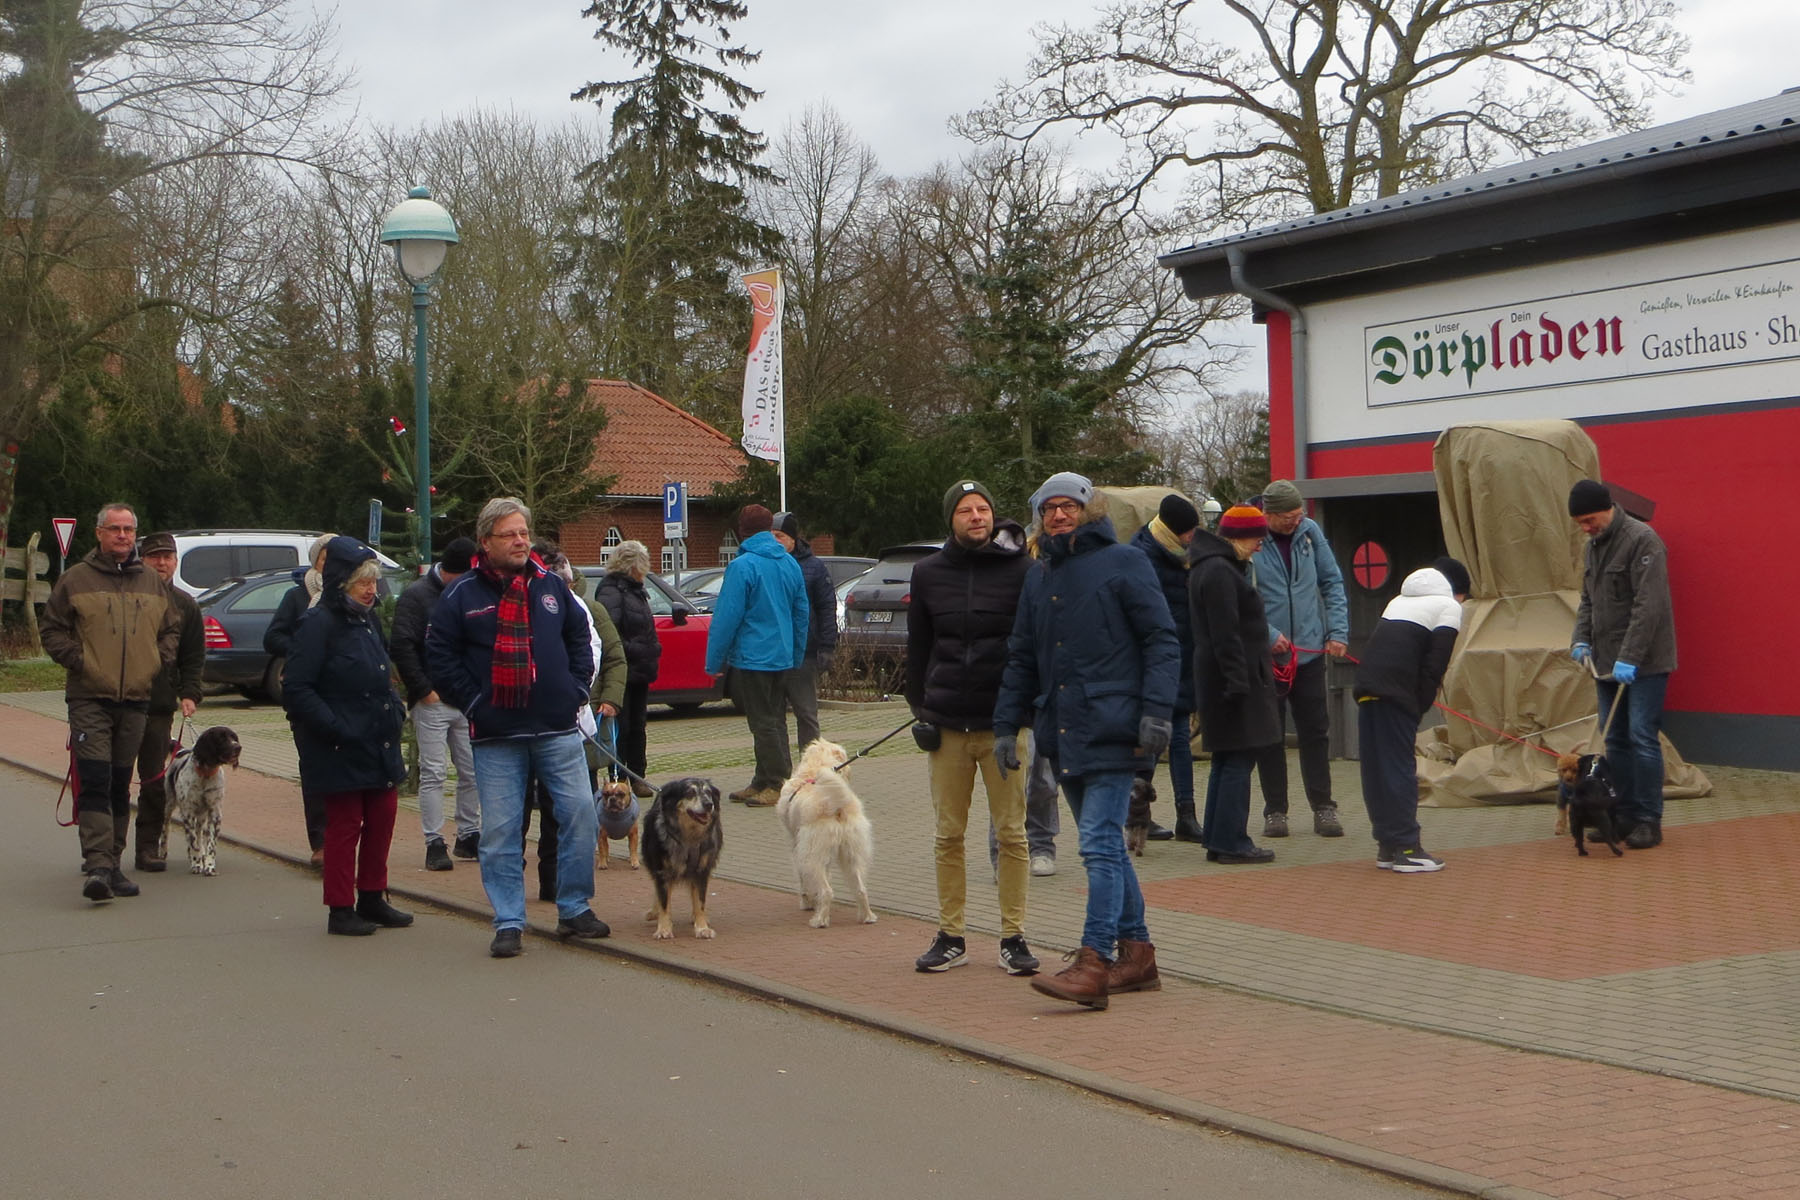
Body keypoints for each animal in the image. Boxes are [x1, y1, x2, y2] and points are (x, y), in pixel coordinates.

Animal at [154, 726, 241, 877]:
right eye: (221, 738)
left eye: (234, 737)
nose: (238, 747)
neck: (206, 774)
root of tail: (181, 750)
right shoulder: (187, 813)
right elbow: (193, 841)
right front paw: (196, 864)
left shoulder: (214, 813)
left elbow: (210, 844)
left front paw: (209, 866)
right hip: (168, 806)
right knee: (167, 830)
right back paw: (163, 852)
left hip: (201, 815)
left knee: (199, 833)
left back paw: (202, 855)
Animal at [633, 780, 716, 935]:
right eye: (690, 793)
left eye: (708, 792)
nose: (709, 804)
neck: (687, 837)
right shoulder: (662, 870)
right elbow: (664, 902)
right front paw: (664, 928)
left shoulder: (701, 870)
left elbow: (700, 901)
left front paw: (702, 927)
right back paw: (655, 912)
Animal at [774, 741, 878, 928]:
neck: (815, 768)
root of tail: (835, 805)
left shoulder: (796, 847)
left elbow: (802, 879)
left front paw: (807, 902)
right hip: (850, 855)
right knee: (860, 889)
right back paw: (867, 917)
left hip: (812, 856)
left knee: (827, 890)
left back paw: (819, 920)